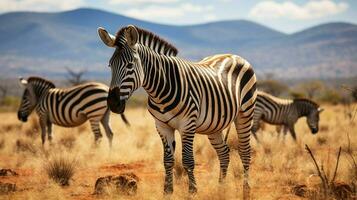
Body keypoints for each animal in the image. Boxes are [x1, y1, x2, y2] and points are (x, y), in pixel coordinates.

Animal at [97, 23, 256, 195]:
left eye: (130, 66)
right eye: (110, 65)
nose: (113, 104)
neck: (160, 91)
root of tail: (234, 55)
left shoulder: (187, 125)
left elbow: (187, 160)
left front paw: (192, 191)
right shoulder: (162, 126)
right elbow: (167, 160)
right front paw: (167, 191)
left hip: (245, 114)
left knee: (245, 151)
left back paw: (246, 190)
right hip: (214, 125)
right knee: (224, 153)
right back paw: (221, 189)